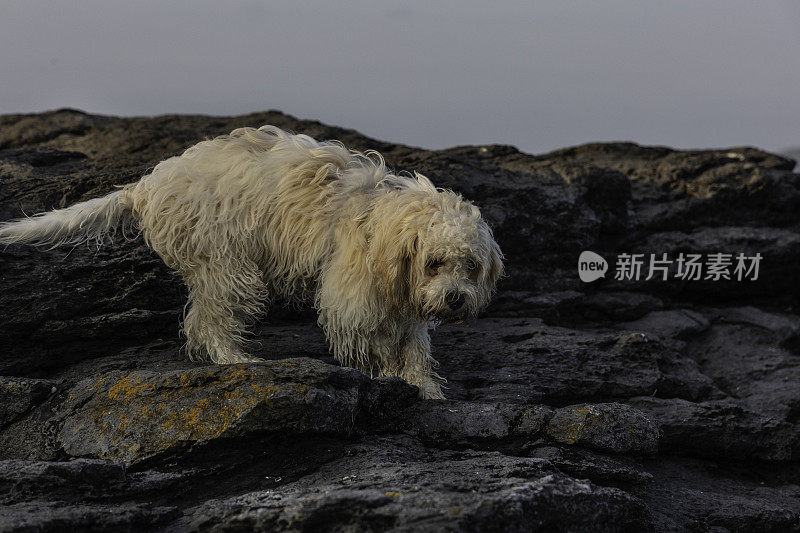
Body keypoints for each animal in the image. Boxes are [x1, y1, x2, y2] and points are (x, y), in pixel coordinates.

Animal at [0, 127, 500, 396]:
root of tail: (143, 186)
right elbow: (370, 338)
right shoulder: (353, 290)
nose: (456, 299)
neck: (380, 218)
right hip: (227, 264)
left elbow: (414, 343)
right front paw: (393, 376)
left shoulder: (402, 298)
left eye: (469, 267)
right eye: (435, 263)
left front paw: (424, 385)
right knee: (209, 321)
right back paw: (236, 358)